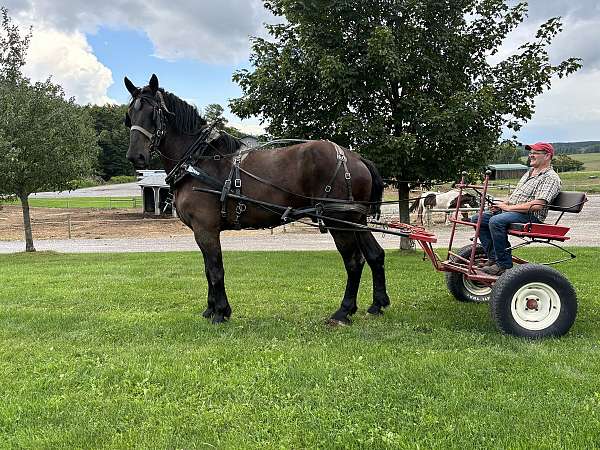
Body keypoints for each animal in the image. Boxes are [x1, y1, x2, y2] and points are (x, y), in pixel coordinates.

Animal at [124, 75, 392, 326]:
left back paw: (343, 311)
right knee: (375, 255)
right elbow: (207, 270)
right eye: (129, 115)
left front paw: (220, 312)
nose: (135, 156)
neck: (199, 161)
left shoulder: (206, 229)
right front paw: (210, 309)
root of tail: (355, 156)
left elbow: (215, 270)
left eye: (152, 112)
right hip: (356, 219)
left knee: (354, 262)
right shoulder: (202, 231)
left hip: (339, 221)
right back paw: (377, 304)